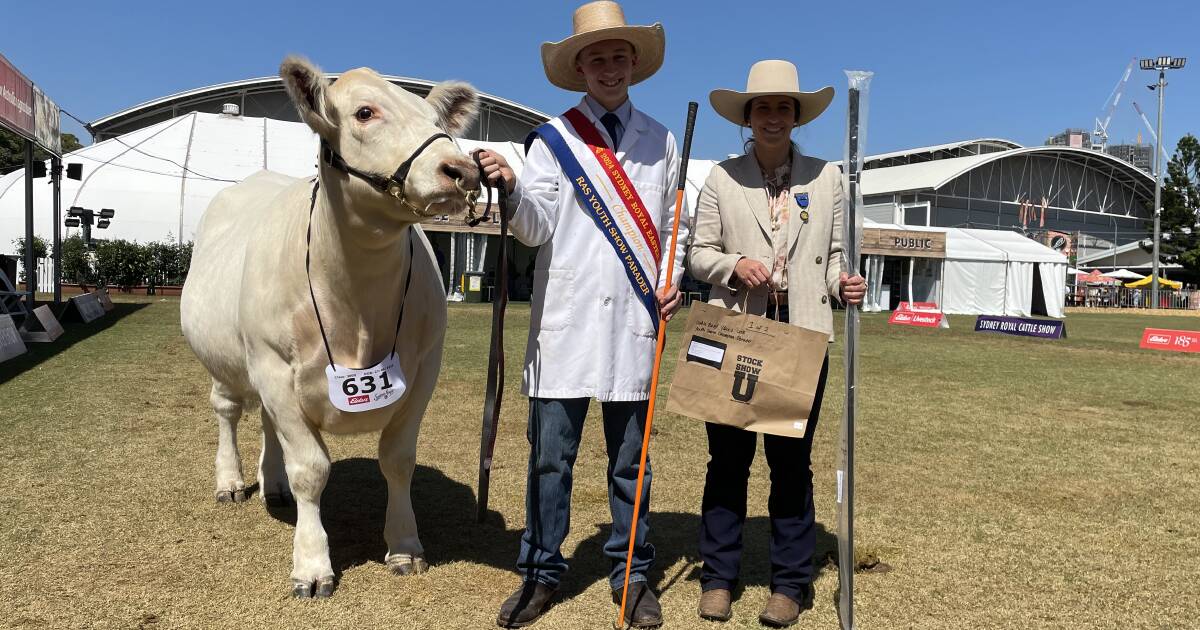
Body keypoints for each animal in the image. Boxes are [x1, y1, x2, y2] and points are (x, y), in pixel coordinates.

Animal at [177, 56, 477, 597]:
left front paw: (405, 545)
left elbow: (398, 460)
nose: (461, 170)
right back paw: (231, 481)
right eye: (364, 112)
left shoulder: (425, 368)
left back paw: (271, 485)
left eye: (435, 119)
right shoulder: (273, 365)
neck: (357, 307)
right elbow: (311, 470)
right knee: (227, 412)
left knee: (266, 423)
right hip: (227, 361)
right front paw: (312, 564)